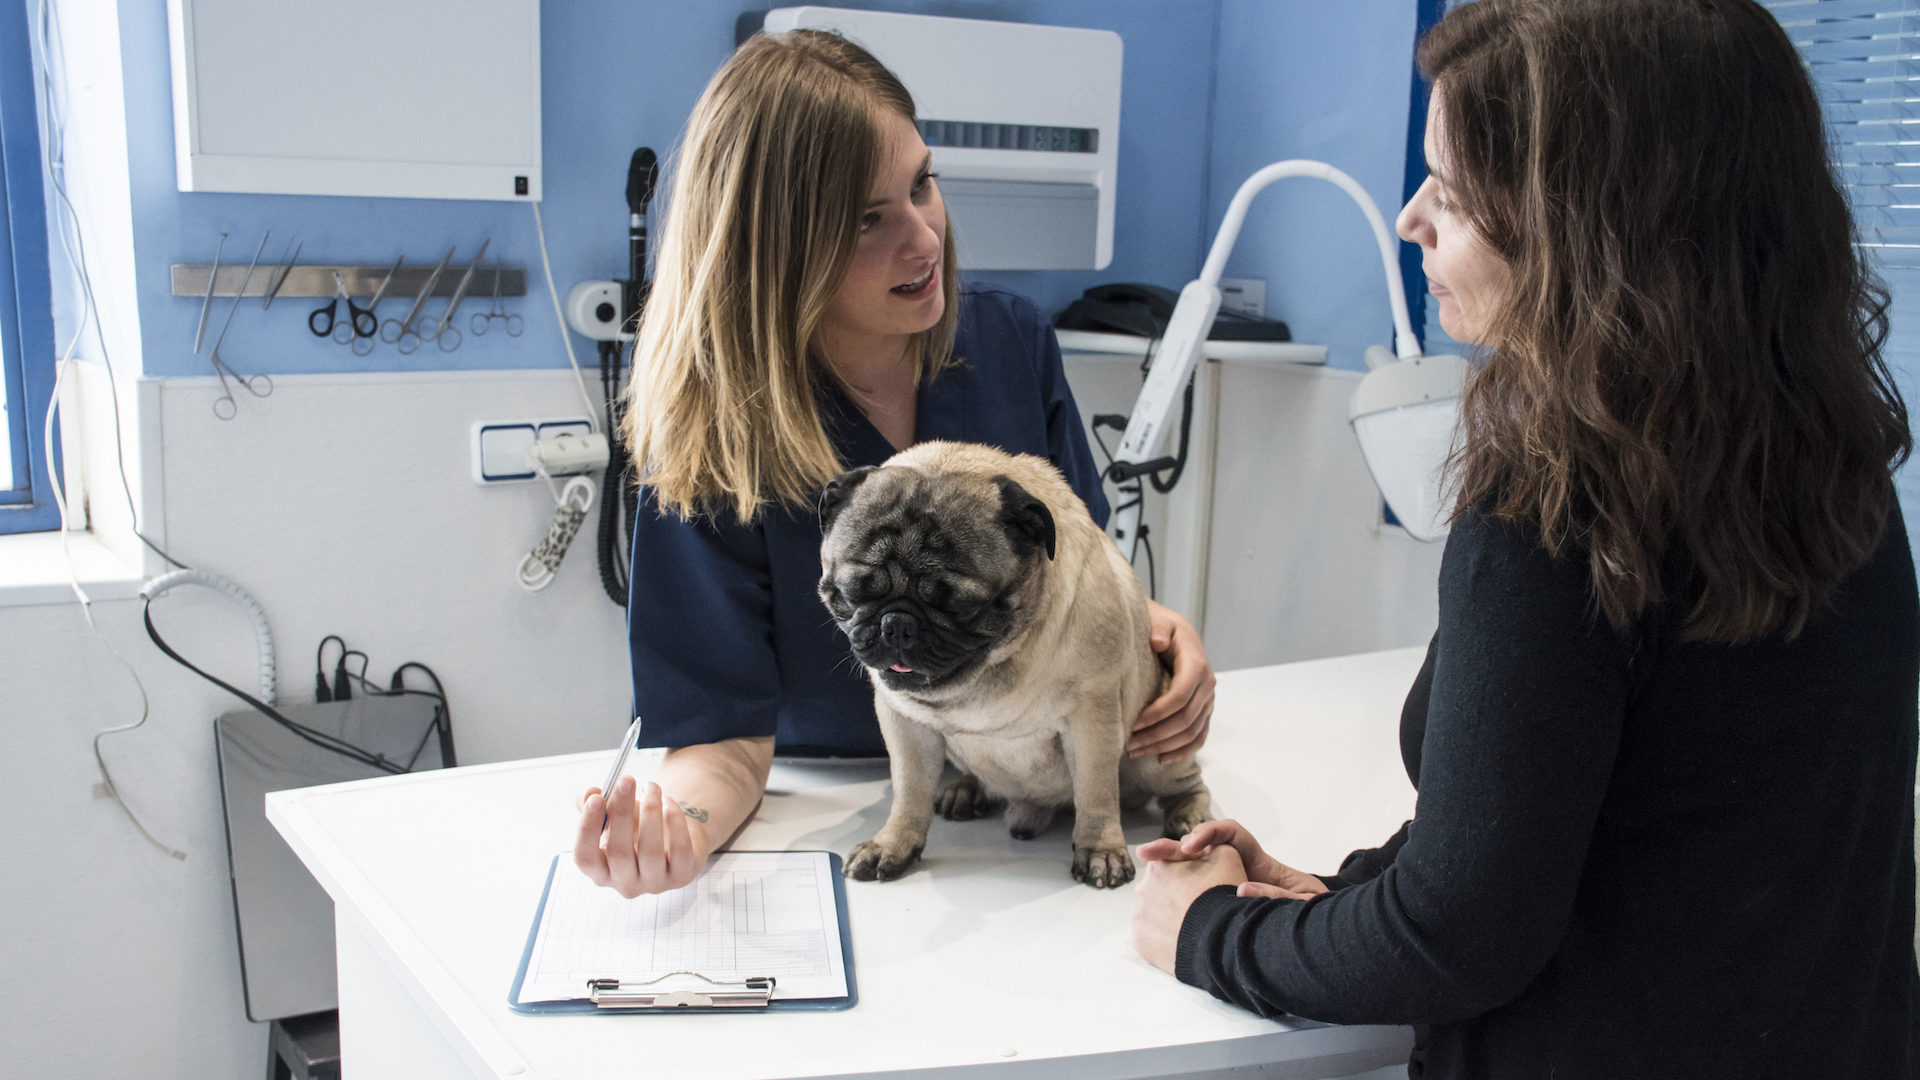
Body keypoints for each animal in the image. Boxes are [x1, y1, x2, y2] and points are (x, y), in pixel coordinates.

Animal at [814, 438, 1205, 883]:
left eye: (963, 606)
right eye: (853, 593)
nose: (897, 623)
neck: (992, 667)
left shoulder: (1093, 719)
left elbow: (1096, 794)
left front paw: (1101, 850)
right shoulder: (906, 726)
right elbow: (909, 793)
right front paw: (892, 844)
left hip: (1154, 755)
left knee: (1186, 785)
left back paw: (1189, 816)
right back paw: (967, 790)